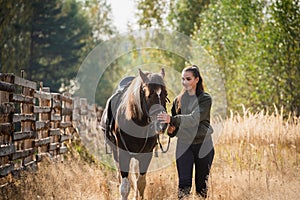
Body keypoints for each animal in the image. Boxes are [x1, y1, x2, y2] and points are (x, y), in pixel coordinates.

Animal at [101, 68, 169, 199]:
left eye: (166, 94)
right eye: (148, 95)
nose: (162, 123)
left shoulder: (146, 154)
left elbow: (141, 183)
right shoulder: (122, 154)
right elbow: (124, 187)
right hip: (115, 151)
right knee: (120, 176)